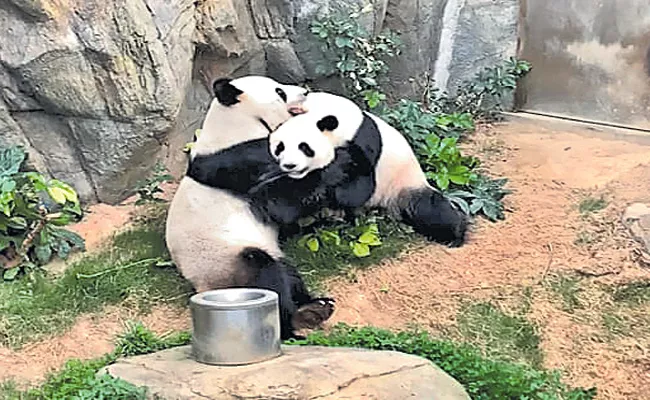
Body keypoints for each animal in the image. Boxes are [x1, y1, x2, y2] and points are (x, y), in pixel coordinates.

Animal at [165, 74, 334, 338]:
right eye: (279, 92)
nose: (305, 92)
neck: (239, 121)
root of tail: (201, 287)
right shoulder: (240, 161)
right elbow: (278, 200)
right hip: (226, 261)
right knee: (265, 274)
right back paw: (290, 324)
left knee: (288, 273)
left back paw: (314, 308)